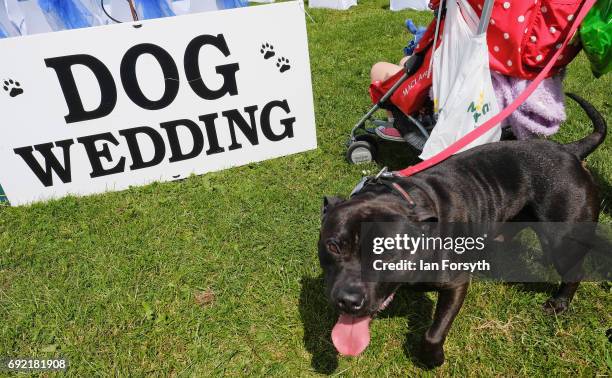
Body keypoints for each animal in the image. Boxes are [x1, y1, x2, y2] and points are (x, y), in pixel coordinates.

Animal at [320, 93, 608, 368]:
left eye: (388, 252)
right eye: (333, 246)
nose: (348, 300)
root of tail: (569, 151)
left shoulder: (455, 283)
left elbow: (433, 333)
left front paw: (433, 358)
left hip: (562, 240)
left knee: (573, 271)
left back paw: (559, 303)